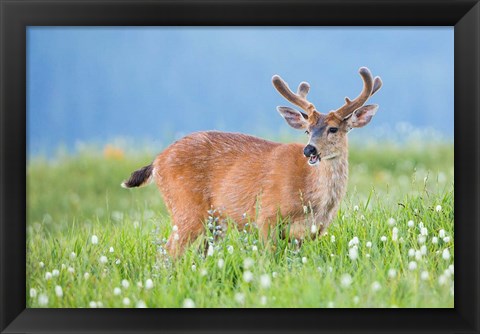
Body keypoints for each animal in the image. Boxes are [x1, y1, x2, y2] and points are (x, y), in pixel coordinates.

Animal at [123, 66, 382, 258]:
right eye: (307, 130)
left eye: (333, 129)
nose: (309, 149)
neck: (312, 199)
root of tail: (157, 161)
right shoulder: (266, 215)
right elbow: (269, 259)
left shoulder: (308, 233)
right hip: (185, 207)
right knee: (168, 253)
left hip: (215, 221)